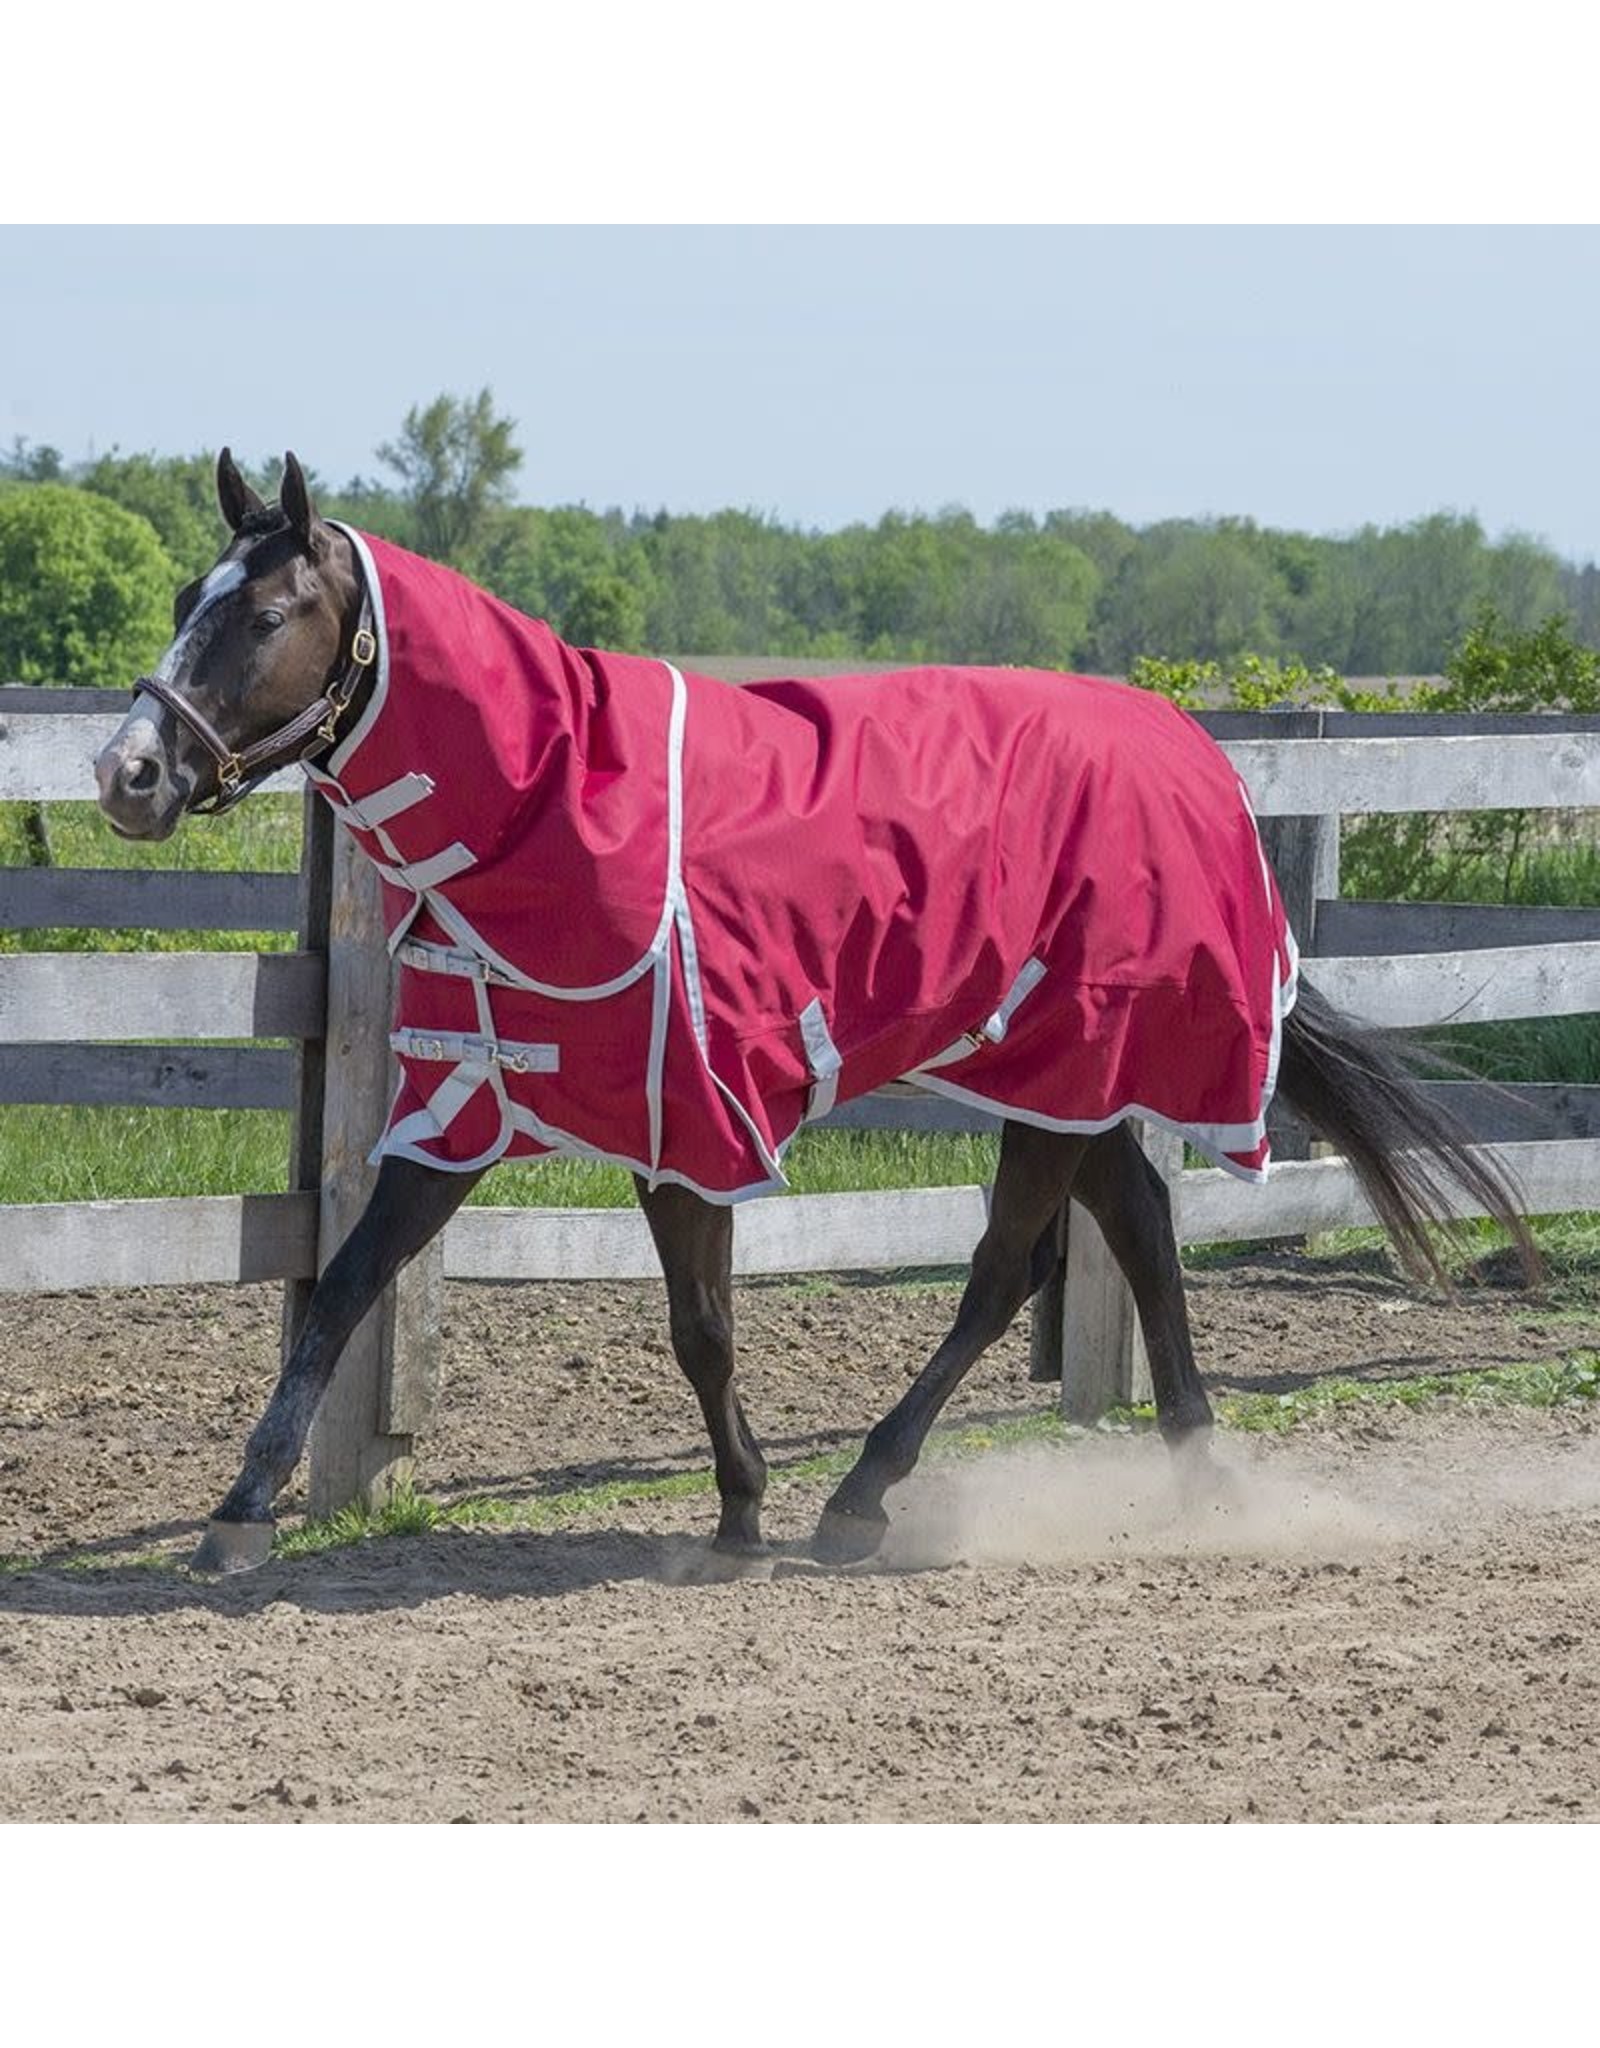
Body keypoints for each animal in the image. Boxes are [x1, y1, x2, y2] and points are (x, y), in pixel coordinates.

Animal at [90, 452, 1532, 1564]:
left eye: (266, 615)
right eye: (184, 599)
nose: (127, 773)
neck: (550, 809)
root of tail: (1197, 754)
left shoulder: (693, 1126)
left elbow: (704, 1326)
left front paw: (745, 1503)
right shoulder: (471, 1104)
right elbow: (344, 1288)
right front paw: (239, 1508)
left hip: (1066, 1074)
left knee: (1002, 1274)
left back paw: (866, 1495)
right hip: (1064, 1075)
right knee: (1139, 1222)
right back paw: (1196, 1467)